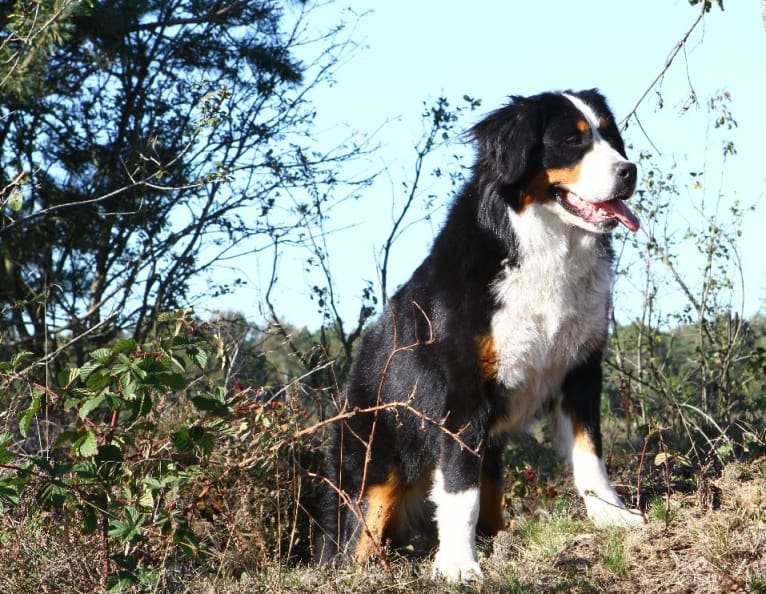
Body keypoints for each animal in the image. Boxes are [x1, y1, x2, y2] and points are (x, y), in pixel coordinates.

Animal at [318, 88, 648, 580]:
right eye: (572, 140)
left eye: (611, 137)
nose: (629, 171)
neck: (546, 250)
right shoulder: (462, 392)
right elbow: (459, 491)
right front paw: (457, 563)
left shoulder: (580, 370)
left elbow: (590, 455)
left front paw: (613, 516)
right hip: (373, 475)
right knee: (355, 541)